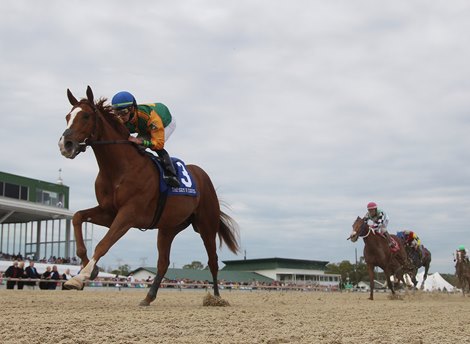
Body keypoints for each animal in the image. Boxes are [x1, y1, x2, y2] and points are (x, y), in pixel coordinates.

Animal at [58, 86, 241, 306]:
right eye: (67, 116)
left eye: (85, 116)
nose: (65, 144)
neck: (119, 169)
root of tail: (204, 176)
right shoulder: (109, 212)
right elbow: (77, 217)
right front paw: (90, 270)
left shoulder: (128, 214)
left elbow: (103, 244)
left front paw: (80, 277)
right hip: (168, 228)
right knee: (163, 262)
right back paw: (148, 296)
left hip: (207, 224)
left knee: (212, 261)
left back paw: (216, 298)